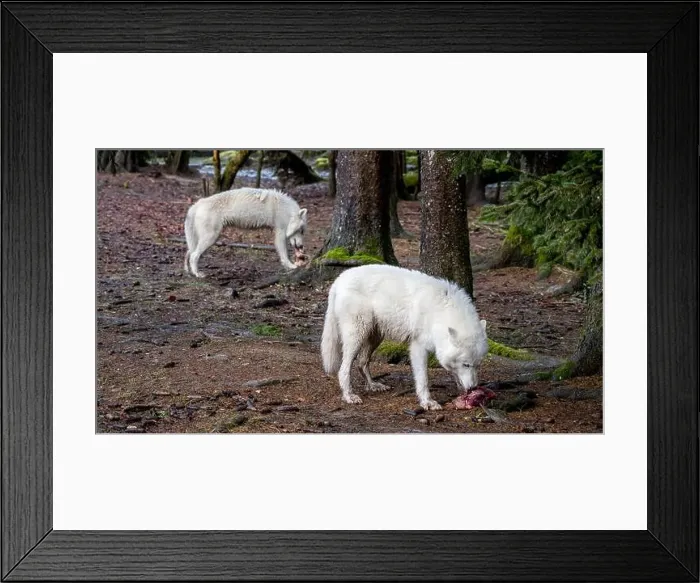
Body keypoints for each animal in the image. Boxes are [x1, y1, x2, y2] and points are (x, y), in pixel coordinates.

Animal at [321, 264, 488, 410]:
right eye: (466, 364)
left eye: (477, 365)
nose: (473, 387)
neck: (441, 311)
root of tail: (339, 279)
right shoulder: (418, 347)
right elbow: (423, 379)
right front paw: (427, 402)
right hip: (357, 336)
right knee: (343, 369)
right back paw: (349, 396)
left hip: (375, 337)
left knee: (361, 363)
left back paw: (373, 385)